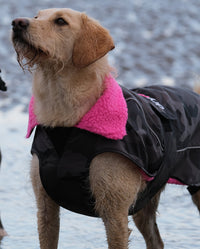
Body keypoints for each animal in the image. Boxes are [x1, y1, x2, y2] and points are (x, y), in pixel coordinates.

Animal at [11, 8, 200, 249]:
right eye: (36, 17)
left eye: (60, 21)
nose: (17, 23)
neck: (65, 121)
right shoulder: (45, 207)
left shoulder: (115, 212)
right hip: (144, 203)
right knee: (156, 240)